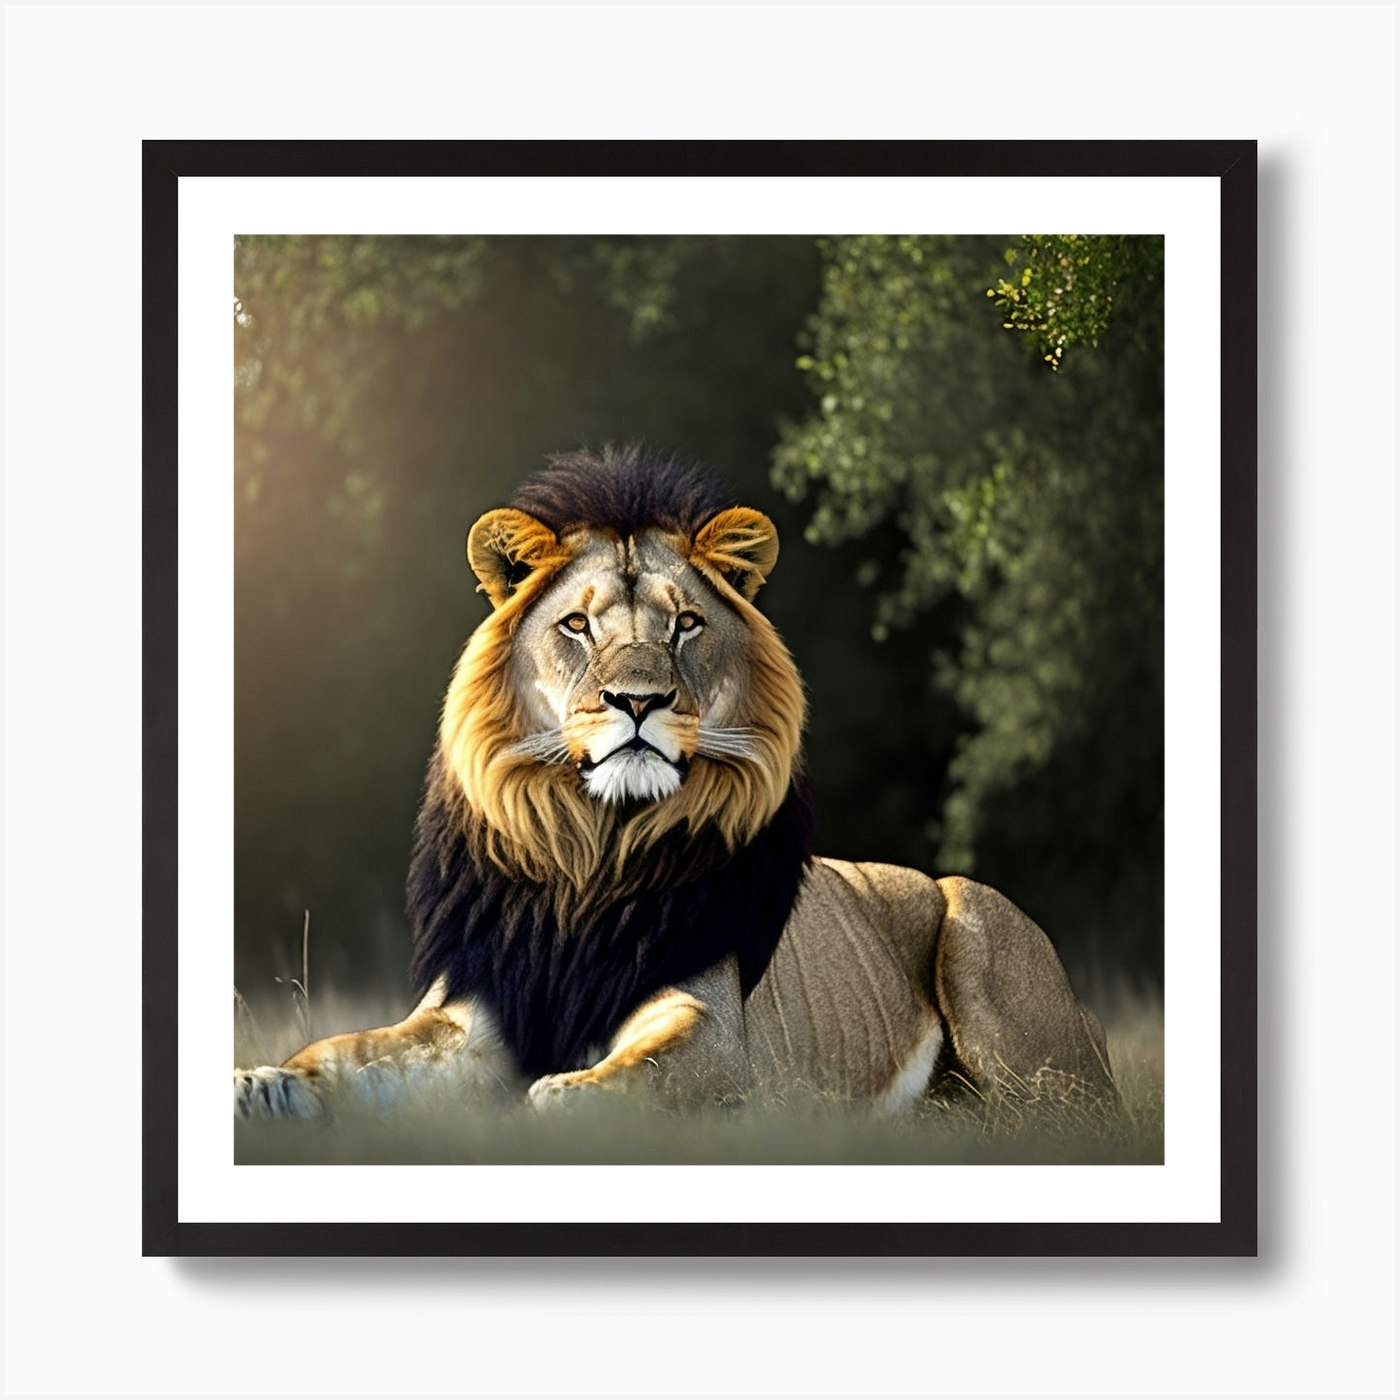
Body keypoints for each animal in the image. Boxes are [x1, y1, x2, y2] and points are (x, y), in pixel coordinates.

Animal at [235, 444, 1115, 1120]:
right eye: (577, 625)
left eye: (686, 624)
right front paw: (262, 1084)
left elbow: (643, 1072)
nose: (637, 700)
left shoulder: (711, 1026)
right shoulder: (470, 1011)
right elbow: (346, 1052)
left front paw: (559, 1099)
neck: (590, 855)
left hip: (979, 925)